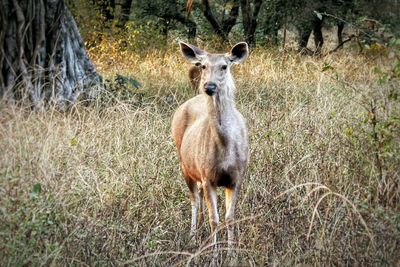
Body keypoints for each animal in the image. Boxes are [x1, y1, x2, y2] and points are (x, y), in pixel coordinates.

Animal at [170, 42, 248, 262]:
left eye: (224, 66)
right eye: (203, 65)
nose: (209, 87)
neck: (225, 151)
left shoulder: (237, 177)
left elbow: (229, 218)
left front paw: (232, 256)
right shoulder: (208, 178)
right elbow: (216, 219)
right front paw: (214, 257)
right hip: (184, 165)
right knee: (194, 200)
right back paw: (193, 237)